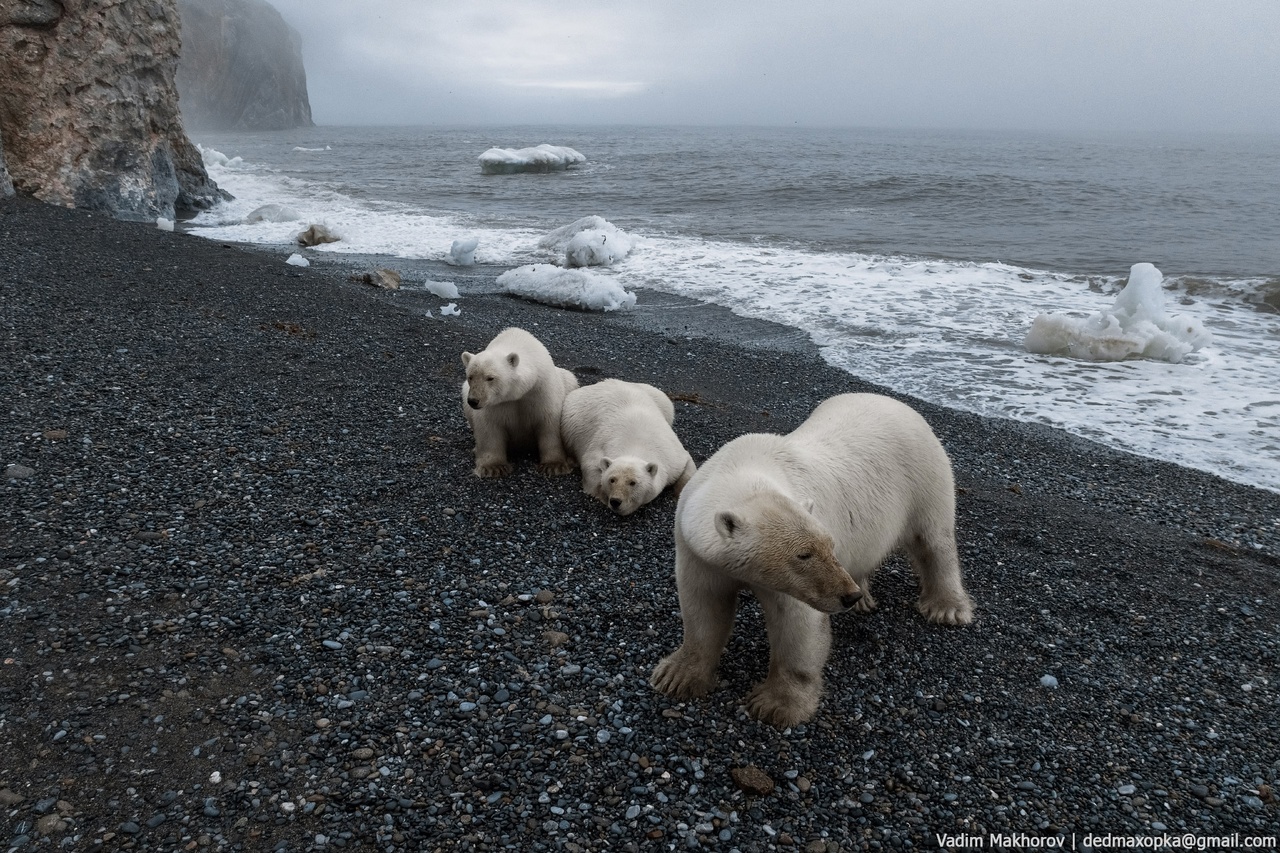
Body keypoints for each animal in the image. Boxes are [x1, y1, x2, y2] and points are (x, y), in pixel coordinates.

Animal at [463, 325, 578, 473]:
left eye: (490, 378)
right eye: (470, 376)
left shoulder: (541, 390)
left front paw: (554, 465)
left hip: (569, 380)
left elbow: (549, 423)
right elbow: (489, 428)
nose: (473, 401)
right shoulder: (495, 404)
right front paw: (493, 467)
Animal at [563, 376, 696, 512]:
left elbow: (687, 465)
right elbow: (591, 468)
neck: (636, 444)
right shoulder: (598, 448)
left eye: (633, 482)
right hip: (571, 417)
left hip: (660, 399)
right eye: (612, 479)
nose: (616, 501)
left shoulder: (670, 455)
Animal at [650, 391, 967, 722]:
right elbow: (704, 606)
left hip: (924, 473)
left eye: (829, 546)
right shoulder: (697, 551)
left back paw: (945, 607)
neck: (740, 467)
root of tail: (894, 401)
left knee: (934, 540)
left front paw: (776, 705)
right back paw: (864, 596)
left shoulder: (796, 583)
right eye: (804, 554)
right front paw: (677, 676)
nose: (847, 595)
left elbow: (797, 625)